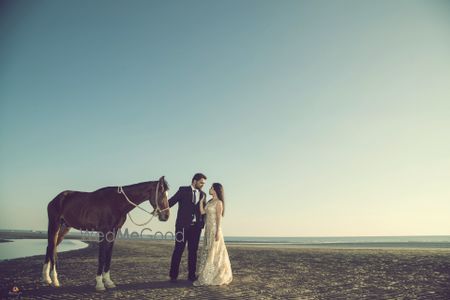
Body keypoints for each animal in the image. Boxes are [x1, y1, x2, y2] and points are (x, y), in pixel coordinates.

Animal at [41, 176, 171, 290]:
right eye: (161, 194)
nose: (166, 216)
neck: (117, 202)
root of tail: (55, 199)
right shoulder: (103, 232)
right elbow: (102, 257)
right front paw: (99, 284)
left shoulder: (113, 232)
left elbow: (108, 257)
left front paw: (108, 282)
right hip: (54, 225)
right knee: (52, 248)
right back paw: (54, 280)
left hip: (64, 228)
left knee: (50, 247)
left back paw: (47, 279)